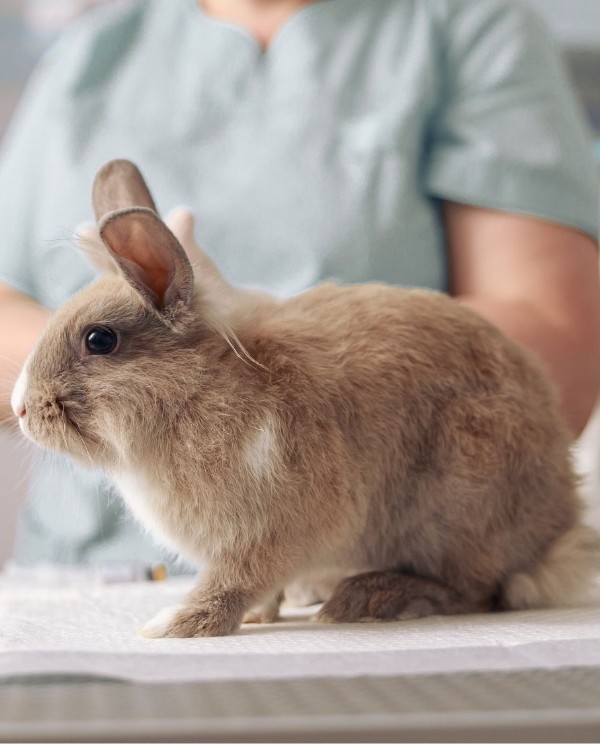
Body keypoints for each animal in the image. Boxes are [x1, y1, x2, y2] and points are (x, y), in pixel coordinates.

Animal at [12, 158, 600, 638]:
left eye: (100, 340)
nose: (20, 408)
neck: (197, 390)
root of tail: (557, 530)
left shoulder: (267, 532)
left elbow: (233, 581)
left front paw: (176, 625)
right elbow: (259, 590)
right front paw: (254, 617)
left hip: (457, 506)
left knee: (476, 591)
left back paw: (371, 598)